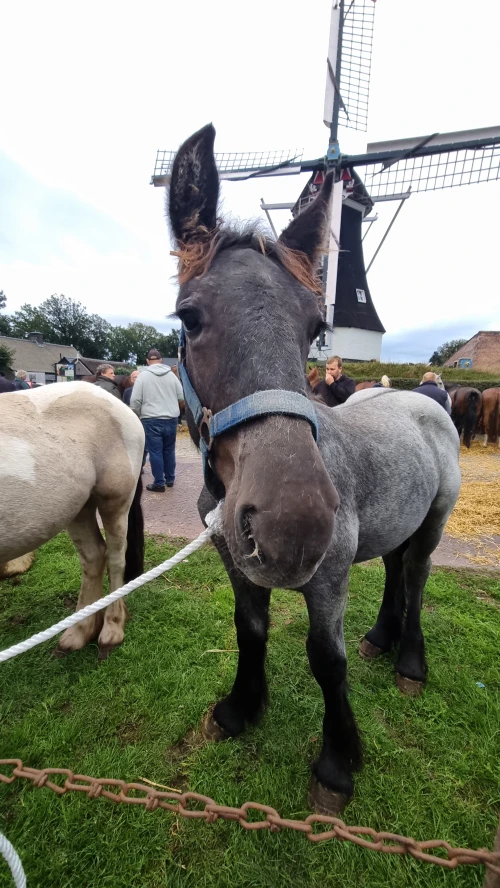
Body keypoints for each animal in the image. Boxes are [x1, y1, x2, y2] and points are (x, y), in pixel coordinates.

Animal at [1, 382, 146, 660]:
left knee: (115, 558)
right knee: (93, 556)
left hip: (115, 502)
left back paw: (111, 629)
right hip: (78, 507)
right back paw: (80, 631)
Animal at [167, 126, 460, 820]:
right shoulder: (235, 559)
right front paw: (239, 710)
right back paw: (382, 636)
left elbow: (328, 660)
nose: (292, 526)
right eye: (188, 317)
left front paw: (337, 762)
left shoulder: (326, 578)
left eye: (316, 325)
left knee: (418, 576)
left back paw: (409, 661)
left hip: (434, 523)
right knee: (395, 569)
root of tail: (423, 400)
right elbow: (250, 629)